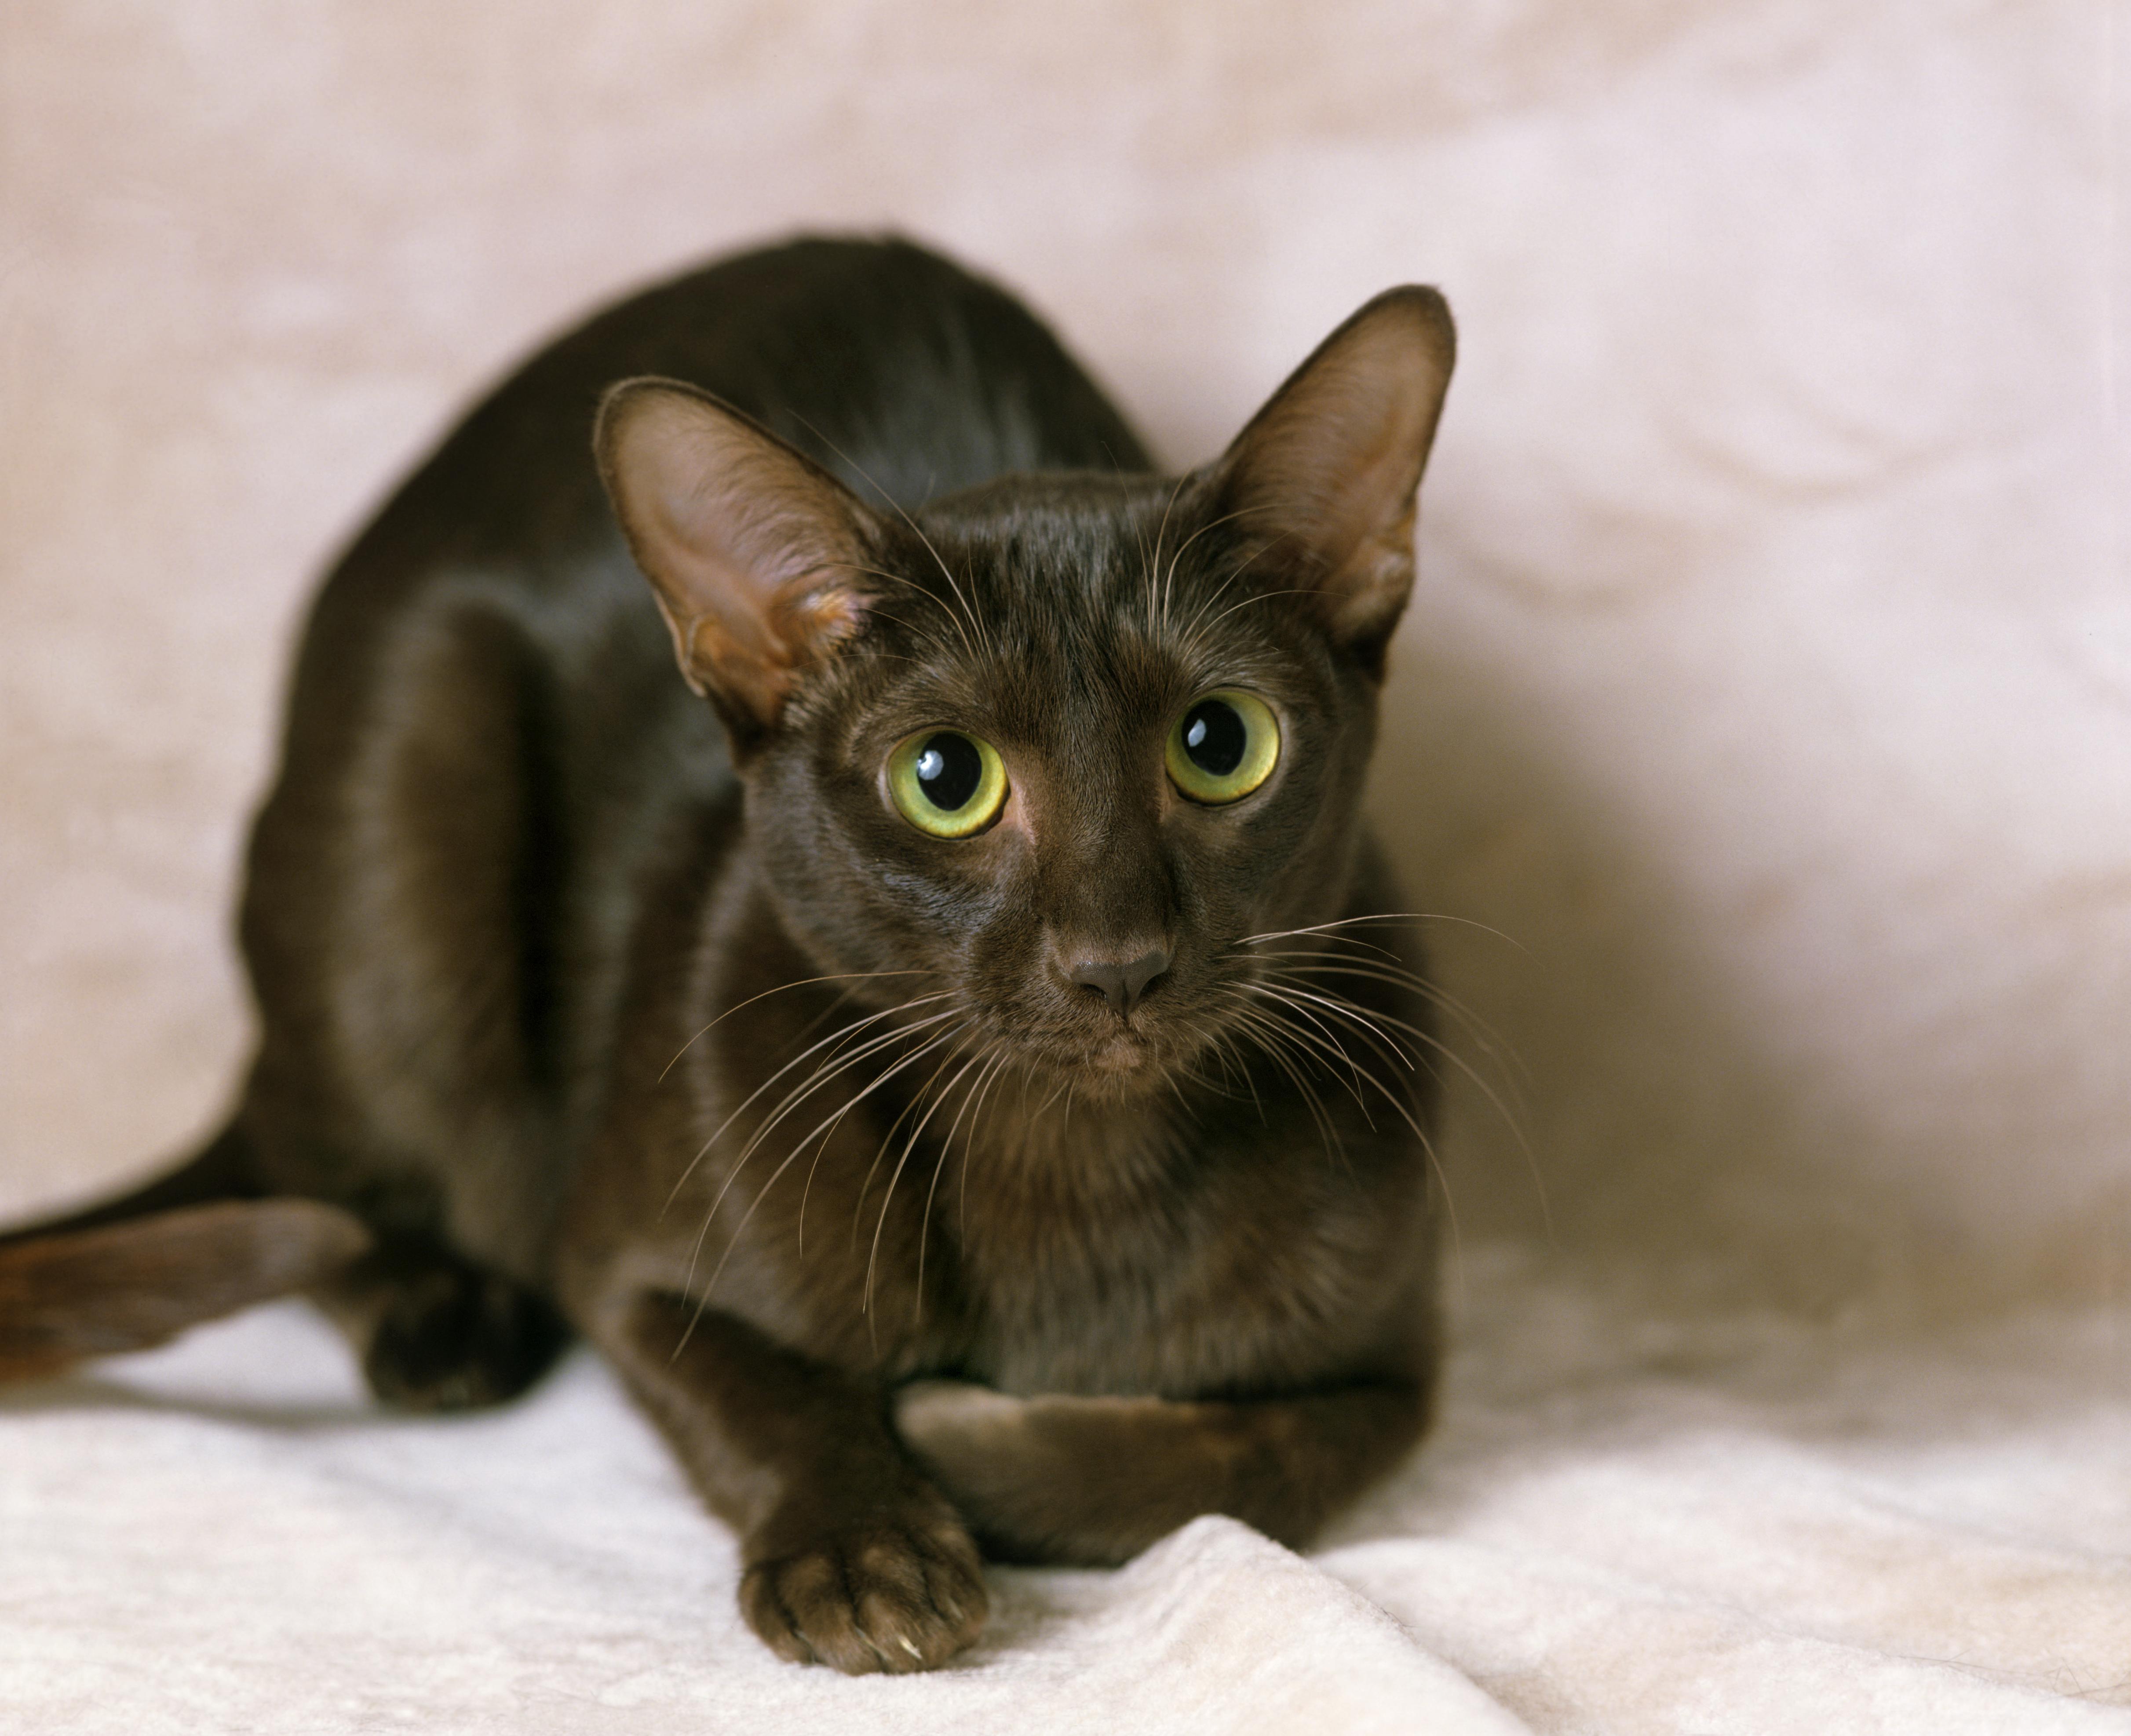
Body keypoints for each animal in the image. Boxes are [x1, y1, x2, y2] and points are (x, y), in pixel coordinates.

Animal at [0, 237, 1449, 1678]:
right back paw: (443, 1314)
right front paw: (862, 1550)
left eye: (1222, 743)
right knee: (327, 1173)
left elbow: (1243, 1460)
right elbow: (769, 1392)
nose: (1117, 962)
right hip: (416, 801)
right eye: (945, 779)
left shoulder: (1403, 1365)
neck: (1072, 1165)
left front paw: (960, 1436)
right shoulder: (629, 1269)